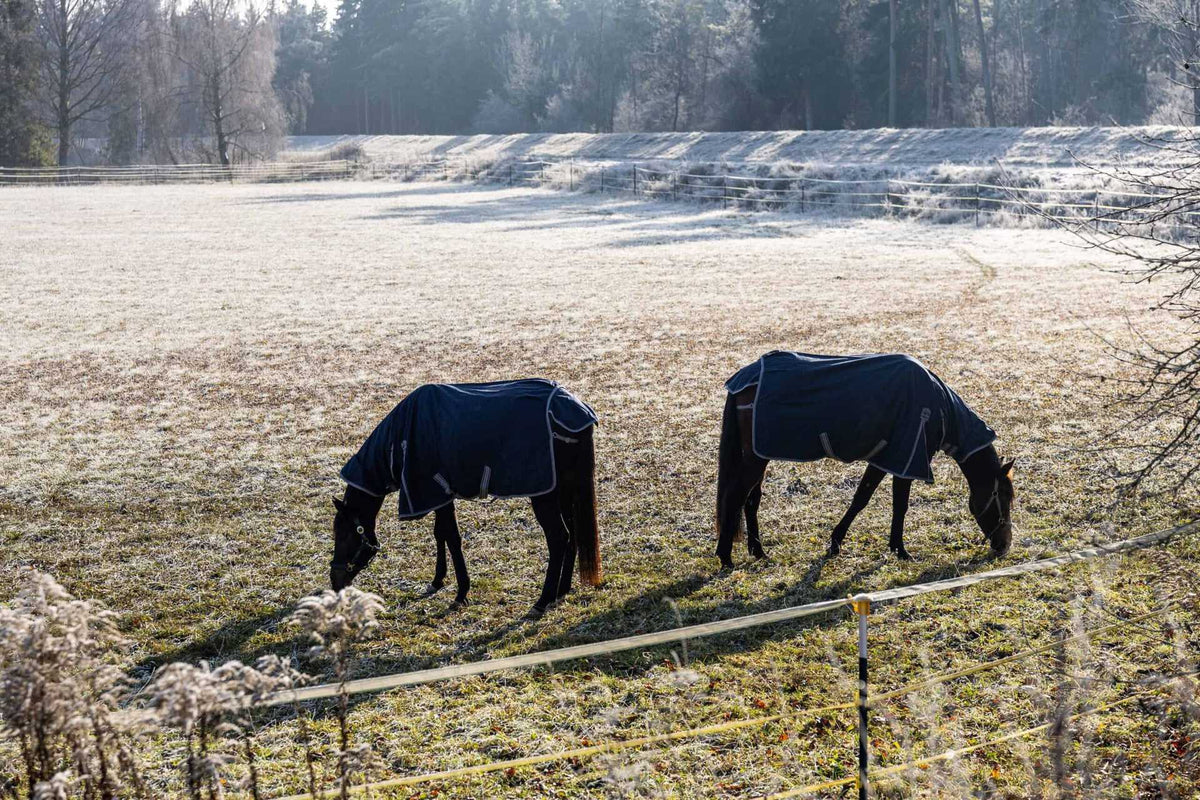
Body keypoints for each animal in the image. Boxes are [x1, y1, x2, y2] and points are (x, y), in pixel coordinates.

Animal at [331, 379, 602, 617]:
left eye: (344, 534)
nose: (334, 581)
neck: (398, 442)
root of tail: (575, 412)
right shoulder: (440, 497)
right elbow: (441, 533)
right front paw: (438, 580)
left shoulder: (435, 493)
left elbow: (451, 537)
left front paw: (461, 593)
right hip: (564, 489)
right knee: (573, 534)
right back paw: (562, 590)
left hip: (544, 496)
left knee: (559, 538)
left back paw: (542, 601)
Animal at [715, 351, 1014, 567]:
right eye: (1003, 497)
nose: (1004, 545)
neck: (938, 408)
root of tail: (745, 378)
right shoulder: (906, 459)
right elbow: (897, 505)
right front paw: (900, 550)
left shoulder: (887, 459)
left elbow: (863, 499)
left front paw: (838, 543)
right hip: (755, 460)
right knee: (735, 496)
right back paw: (725, 556)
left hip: (760, 457)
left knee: (751, 499)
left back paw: (758, 551)